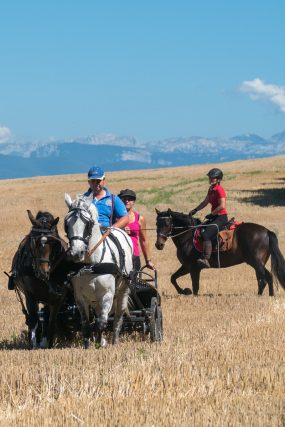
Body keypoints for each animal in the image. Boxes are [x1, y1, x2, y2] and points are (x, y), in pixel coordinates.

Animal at [9, 211, 67, 348]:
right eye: (33, 242)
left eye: (53, 243)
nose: (42, 272)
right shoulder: (30, 295)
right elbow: (33, 318)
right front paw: (33, 342)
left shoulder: (58, 297)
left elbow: (51, 320)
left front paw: (48, 342)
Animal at [63, 194, 133, 348]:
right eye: (66, 223)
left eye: (88, 223)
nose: (76, 253)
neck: (91, 264)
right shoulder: (80, 297)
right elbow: (86, 325)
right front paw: (88, 345)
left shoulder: (107, 294)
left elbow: (101, 323)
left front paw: (101, 343)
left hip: (123, 290)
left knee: (118, 317)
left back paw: (114, 341)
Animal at [155, 210, 285, 298]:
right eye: (157, 224)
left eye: (167, 223)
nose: (158, 244)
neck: (188, 236)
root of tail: (267, 231)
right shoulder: (187, 266)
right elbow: (173, 278)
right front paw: (184, 291)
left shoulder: (193, 268)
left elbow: (195, 286)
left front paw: (189, 293)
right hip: (258, 262)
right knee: (262, 280)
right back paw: (259, 296)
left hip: (256, 261)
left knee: (268, 277)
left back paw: (271, 296)